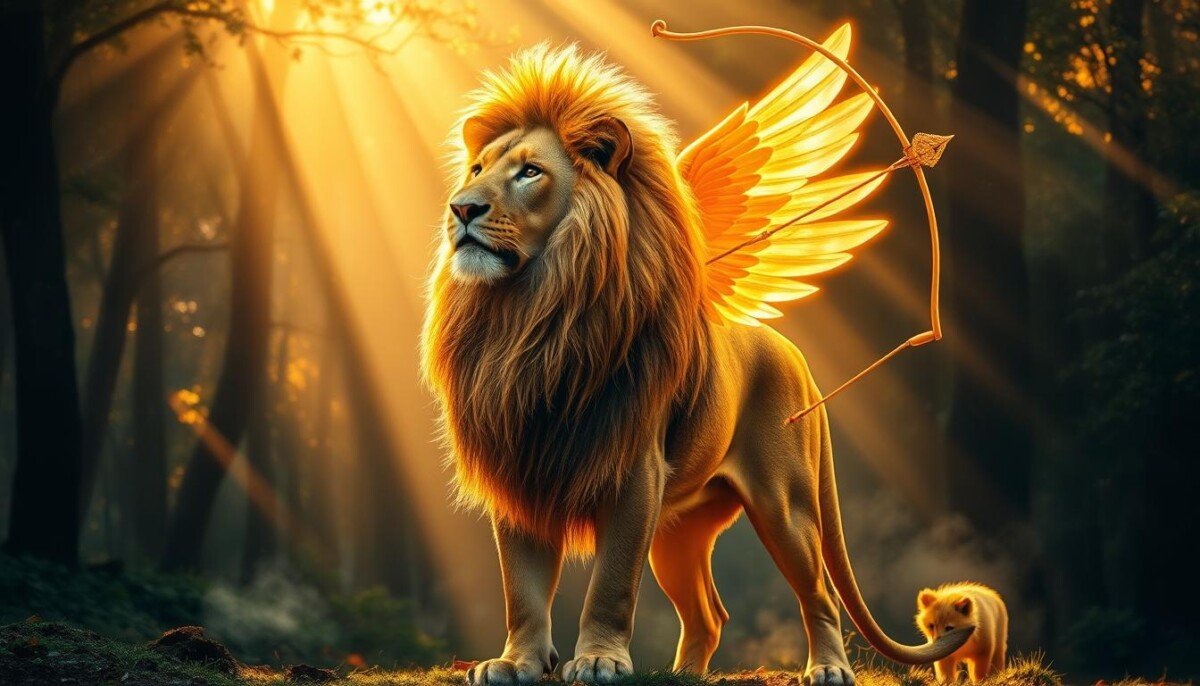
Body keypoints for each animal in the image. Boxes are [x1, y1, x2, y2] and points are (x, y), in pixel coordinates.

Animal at [421, 39, 971, 686]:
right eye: (477, 170)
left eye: (530, 172)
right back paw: (683, 673)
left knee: (820, 596)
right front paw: (516, 663)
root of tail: (794, 353)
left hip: (784, 505)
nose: (461, 208)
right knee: (710, 613)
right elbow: (522, 589)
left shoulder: (634, 471)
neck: (531, 317)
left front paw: (600, 659)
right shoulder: (515, 464)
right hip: (677, 533)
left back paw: (829, 668)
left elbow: (610, 585)